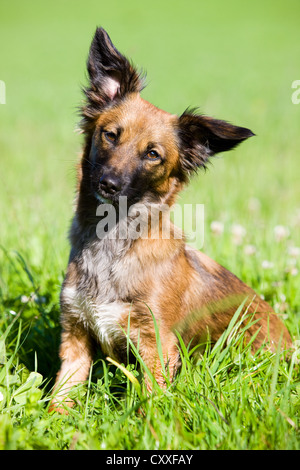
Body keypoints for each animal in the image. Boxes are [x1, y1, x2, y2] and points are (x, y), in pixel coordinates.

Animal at [49, 28, 292, 412]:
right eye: (110, 134)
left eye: (153, 154)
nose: (108, 184)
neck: (112, 245)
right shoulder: (75, 337)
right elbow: (59, 400)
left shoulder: (156, 345)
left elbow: (151, 403)